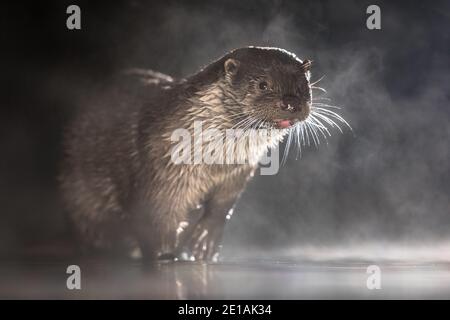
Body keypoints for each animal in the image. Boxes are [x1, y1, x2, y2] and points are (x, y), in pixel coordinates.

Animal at [60, 47, 334, 262]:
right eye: (262, 84)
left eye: (302, 86)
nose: (291, 103)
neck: (213, 161)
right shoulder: (159, 175)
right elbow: (153, 218)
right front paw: (164, 256)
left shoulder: (238, 172)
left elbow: (222, 205)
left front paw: (206, 240)